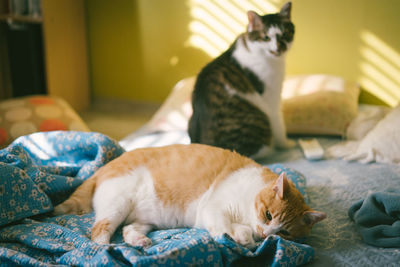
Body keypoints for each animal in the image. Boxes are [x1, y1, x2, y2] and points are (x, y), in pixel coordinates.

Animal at [54, 144, 326, 249]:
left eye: (285, 233)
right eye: (269, 214)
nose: (266, 234)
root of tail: (104, 166)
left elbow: (241, 232)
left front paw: (244, 238)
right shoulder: (214, 208)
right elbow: (223, 226)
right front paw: (233, 237)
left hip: (145, 218)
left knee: (129, 229)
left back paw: (139, 242)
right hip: (116, 206)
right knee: (99, 231)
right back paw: (106, 249)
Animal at [189, 2, 296, 159]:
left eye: (285, 34)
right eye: (266, 38)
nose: (278, 48)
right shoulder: (272, 99)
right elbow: (279, 126)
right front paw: (286, 144)